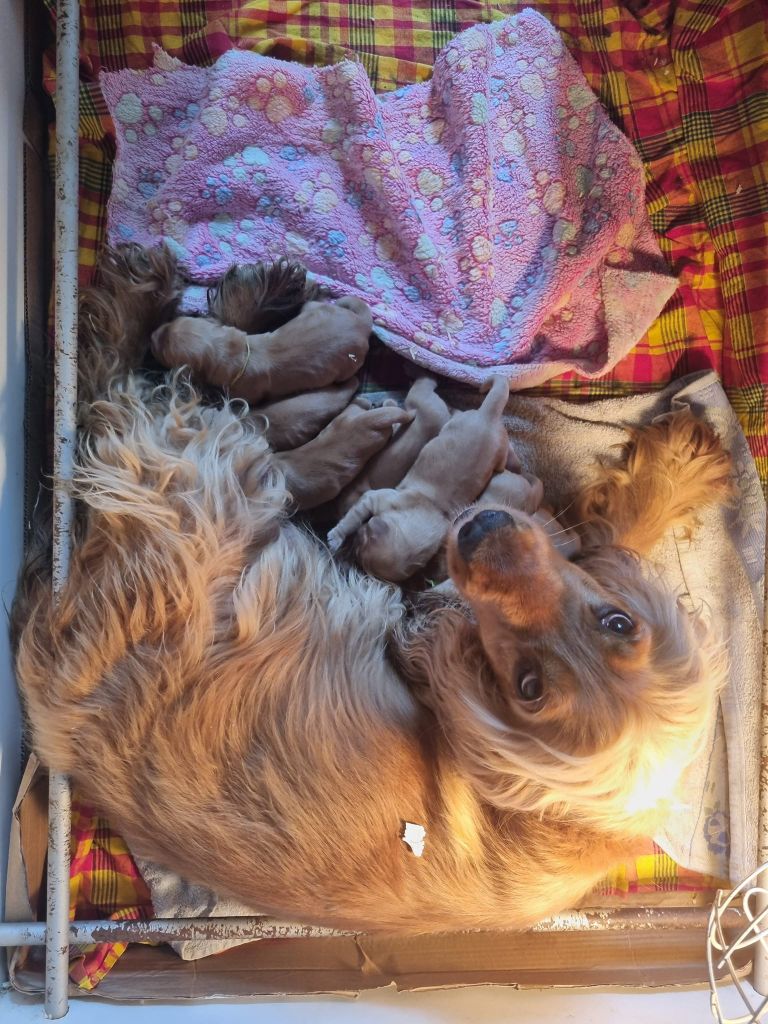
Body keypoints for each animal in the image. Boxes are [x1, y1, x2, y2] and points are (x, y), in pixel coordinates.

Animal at [150, 294, 372, 401]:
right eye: (170, 323)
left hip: (349, 365)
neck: (237, 352)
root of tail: (362, 324)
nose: (151, 335)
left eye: (165, 350)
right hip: (317, 308)